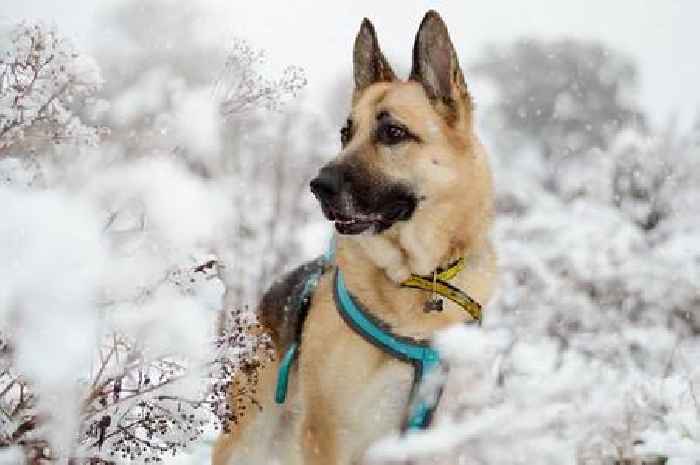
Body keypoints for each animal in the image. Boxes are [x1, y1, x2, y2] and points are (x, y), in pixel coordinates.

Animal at [213, 10, 498, 464]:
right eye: (346, 134)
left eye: (393, 133)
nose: (318, 186)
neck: (421, 283)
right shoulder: (329, 437)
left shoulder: (440, 441)